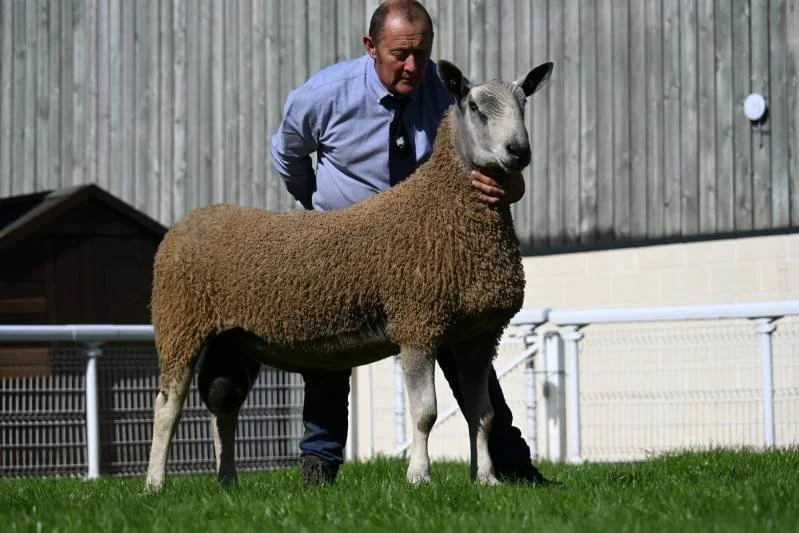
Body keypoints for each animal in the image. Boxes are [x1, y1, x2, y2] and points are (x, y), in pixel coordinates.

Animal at [144, 59, 553, 494]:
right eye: (474, 107)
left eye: (524, 103)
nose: (518, 152)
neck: (445, 208)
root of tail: (187, 222)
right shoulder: (417, 323)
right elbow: (425, 412)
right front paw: (419, 475)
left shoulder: (478, 334)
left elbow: (482, 413)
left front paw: (488, 478)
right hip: (179, 325)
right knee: (167, 405)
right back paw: (155, 483)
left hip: (233, 341)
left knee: (224, 404)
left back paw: (227, 481)